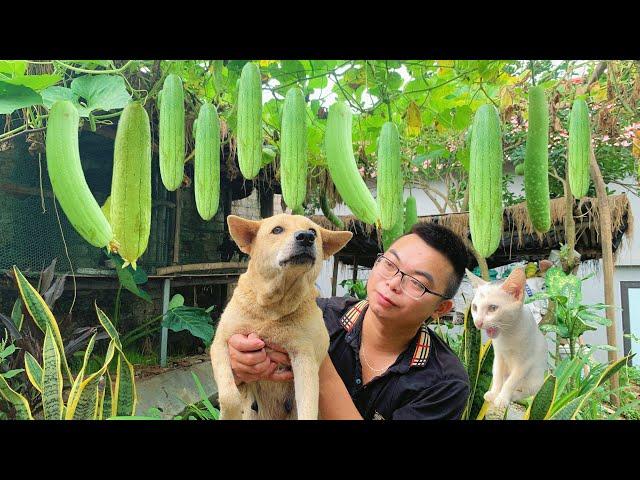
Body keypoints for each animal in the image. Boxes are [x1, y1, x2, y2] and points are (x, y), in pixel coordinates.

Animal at [211, 214, 352, 420]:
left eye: (313, 231)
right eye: (277, 230)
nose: (306, 237)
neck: (273, 309)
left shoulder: (305, 359)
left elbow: (308, 408)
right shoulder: (221, 343)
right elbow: (230, 396)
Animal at [464, 266, 552, 408]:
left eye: (493, 308)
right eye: (475, 307)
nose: (478, 322)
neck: (508, 334)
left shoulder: (525, 362)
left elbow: (511, 382)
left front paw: (502, 398)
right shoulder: (499, 355)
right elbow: (498, 376)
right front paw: (495, 393)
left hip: (536, 380)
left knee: (526, 392)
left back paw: (514, 395)